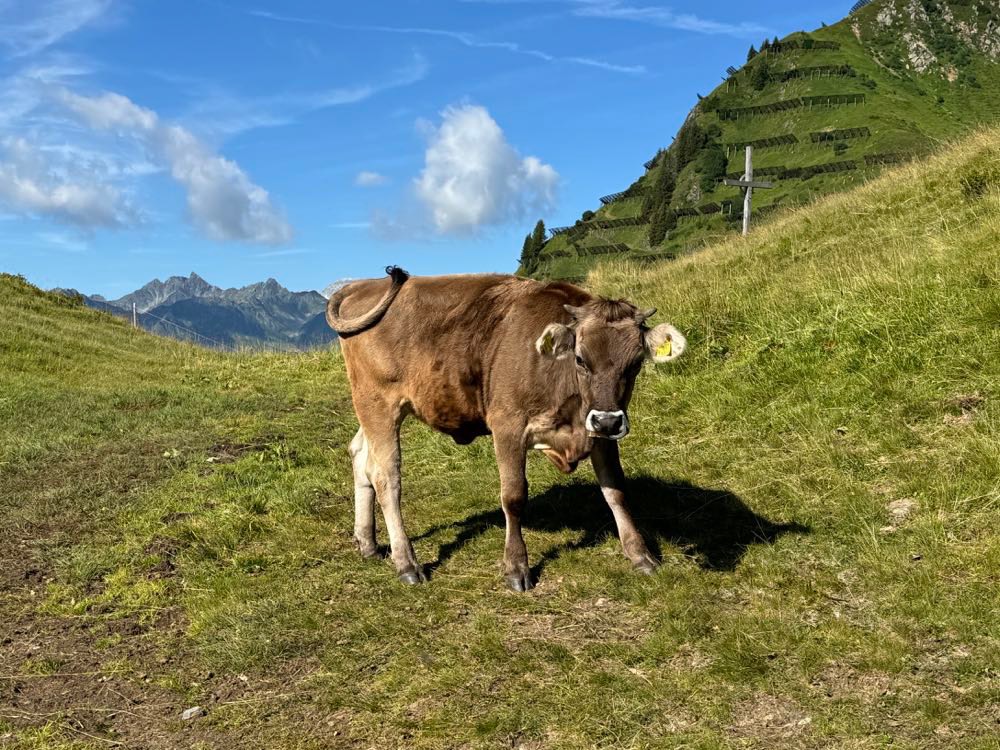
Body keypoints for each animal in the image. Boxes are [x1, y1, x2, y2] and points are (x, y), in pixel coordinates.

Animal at [328, 268, 688, 592]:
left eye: (636, 363)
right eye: (581, 359)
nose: (608, 420)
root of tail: (361, 284)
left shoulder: (599, 434)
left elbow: (616, 492)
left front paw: (640, 554)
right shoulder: (507, 425)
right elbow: (514, 497)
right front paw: (516, 567)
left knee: (360, 456)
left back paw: (367, 543)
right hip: (377, 402)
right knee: (386, 477)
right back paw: (406, 562)